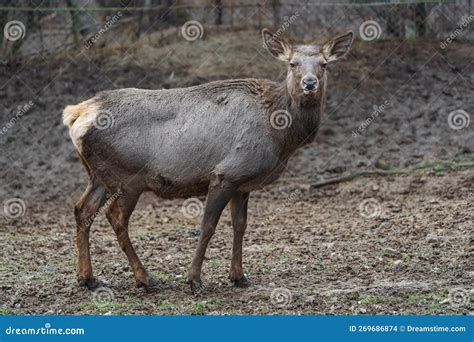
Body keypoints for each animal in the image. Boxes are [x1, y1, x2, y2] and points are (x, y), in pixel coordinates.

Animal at [62, 28, 352, 292]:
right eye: (292, 64)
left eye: (324, 64)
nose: (310, 83)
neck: (282, 137)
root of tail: (76, 114)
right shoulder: (225, 173)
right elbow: (208, 226)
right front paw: (194, 279)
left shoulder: (242, 183)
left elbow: (240, 226)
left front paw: (238, 276)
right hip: (128, 177)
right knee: (115, 217)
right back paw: (144, 278)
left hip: (98, 175)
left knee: (82, 210)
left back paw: (87, 278)